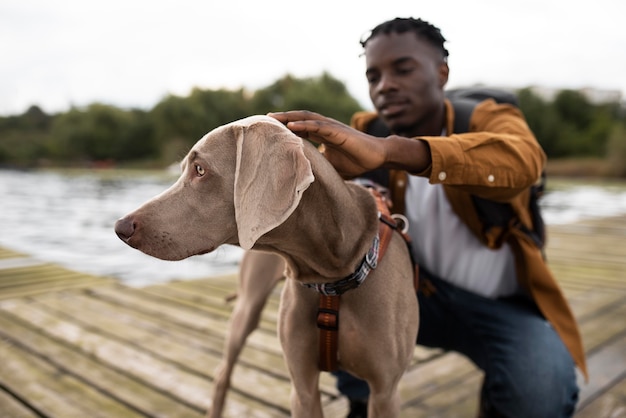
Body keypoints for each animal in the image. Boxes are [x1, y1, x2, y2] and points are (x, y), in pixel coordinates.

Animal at [116, 115, 420, 418]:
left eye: (200, 170)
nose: (120, 227)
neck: (333, 271)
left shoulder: (385, 391)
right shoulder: (302, 388)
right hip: (246, 308)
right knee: (222, 374)